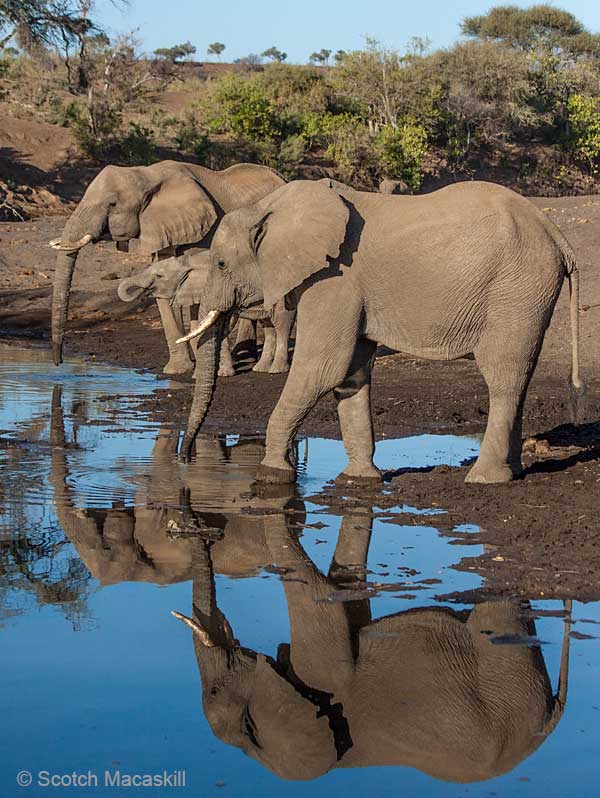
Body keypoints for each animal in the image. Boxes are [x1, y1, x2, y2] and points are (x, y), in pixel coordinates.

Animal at [49, 164, 284, 376]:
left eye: (112, 204)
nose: (58, 363)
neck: (146, 174)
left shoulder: (206, 229)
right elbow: (164, 290)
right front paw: (179, 369)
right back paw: (242, 355)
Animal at [173, 516, 572, 784]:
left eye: (214, 690)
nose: (197, 529)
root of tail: (550, 719)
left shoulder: (323, 669)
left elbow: (322, 599)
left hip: (507, 671)